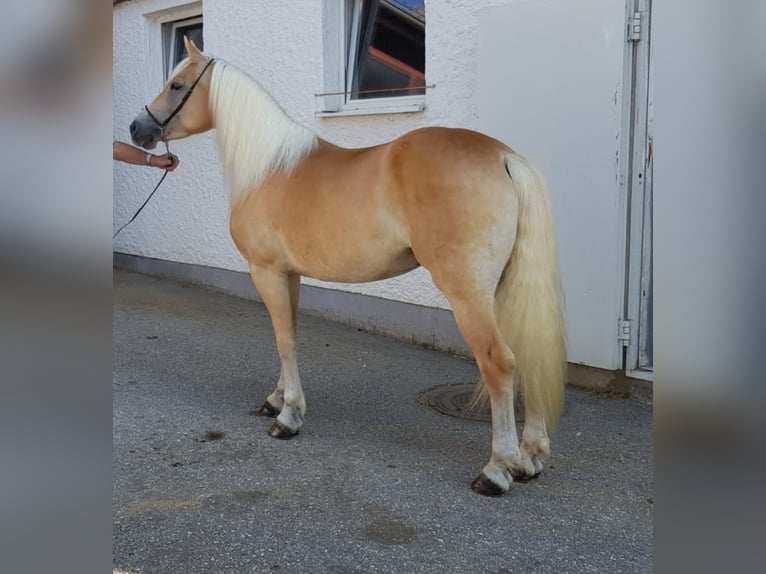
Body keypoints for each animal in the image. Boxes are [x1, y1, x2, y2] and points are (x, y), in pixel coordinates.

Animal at [129, 38, 566, 496]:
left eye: (177, 85)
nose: (136, 130)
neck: (268, 167)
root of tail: (503, 156)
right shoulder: (290, 274)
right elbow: (289, 335)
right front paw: (276, 399)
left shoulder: (266, 271)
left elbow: (283, 339)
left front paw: (289, 417)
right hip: (503, 288)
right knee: (528, 355)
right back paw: (531, 457)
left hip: (468, 294)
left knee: (500, 363)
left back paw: (497, 469)